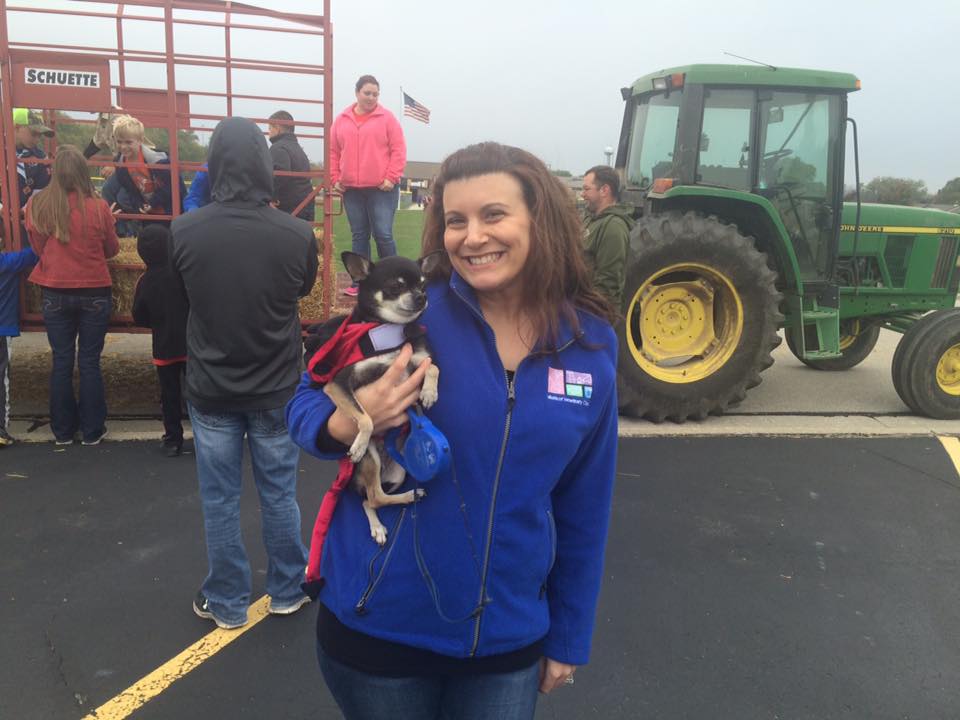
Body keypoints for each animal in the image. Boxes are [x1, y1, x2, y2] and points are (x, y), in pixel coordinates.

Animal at [316, 250, 444, 544]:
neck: (390, 334)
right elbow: (366, 418)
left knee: (371, 498)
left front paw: (429, 392)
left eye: (423, 286)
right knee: (373, 497)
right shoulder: (338, 384)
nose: (422, 298)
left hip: (400, 470)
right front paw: (359, 441)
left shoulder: (418, 361)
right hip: (370, 461)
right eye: (396, 286)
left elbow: (433, 367)